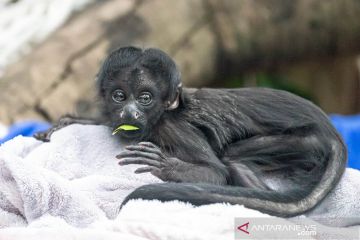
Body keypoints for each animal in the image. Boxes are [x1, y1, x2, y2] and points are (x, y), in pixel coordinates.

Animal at [35, 46, 346, 217]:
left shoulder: (174, 128)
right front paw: (70, 122)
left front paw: (165, 166)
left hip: (305, 141)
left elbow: (215, 172)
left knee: (232, 161)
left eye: (145, 98)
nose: (130, 113)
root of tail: (331, 130)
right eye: (119, 96)